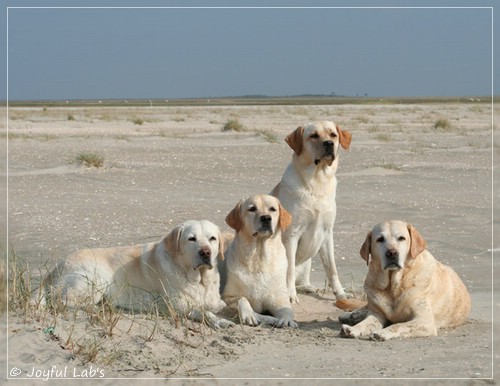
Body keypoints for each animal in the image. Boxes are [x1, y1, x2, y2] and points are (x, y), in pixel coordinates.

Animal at [35, 220, 234, 328]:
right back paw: (101, 309)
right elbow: (205, 312)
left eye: (212, 238)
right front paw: (220, 322)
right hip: (96, 277)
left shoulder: (215, 300)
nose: (205, 252)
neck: (199, 279)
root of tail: (53, 270)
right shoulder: (177, 306)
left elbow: (224, 305)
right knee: (63, 301)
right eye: (191, 239)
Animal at [222, 195, 296, 328]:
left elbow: (287, 310)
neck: (258, 259)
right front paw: (249, 315)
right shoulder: (227, 296)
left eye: (272, 209)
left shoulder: (279, 299)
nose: (266, 218)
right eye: (252, 209)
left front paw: (286, 320)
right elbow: (242, 299)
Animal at [270, 121, 356, 308]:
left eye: (333, 135)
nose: (329, 144)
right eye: (313, 136)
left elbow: (332, 269)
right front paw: (290, 296)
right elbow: (289, 270)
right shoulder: (292, 235)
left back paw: (308, 287)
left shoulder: (327, 233)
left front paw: (340, 294)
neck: (317, 182)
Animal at [340, 220, 472, 340]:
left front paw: (383, 332)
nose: (392, 253)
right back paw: (353, 315)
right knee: (365, 306)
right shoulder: (377, 314)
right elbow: (365, 323)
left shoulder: (425, 321)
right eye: (380, 239)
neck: (394, 285)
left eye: (401, 238)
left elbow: (398, 325)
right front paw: (353, 329)